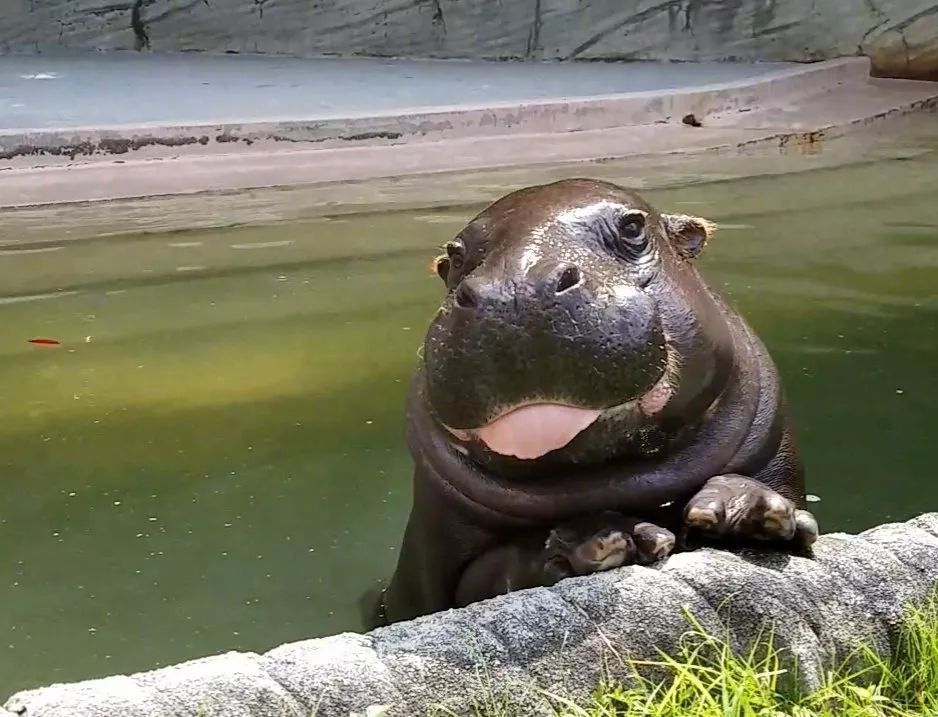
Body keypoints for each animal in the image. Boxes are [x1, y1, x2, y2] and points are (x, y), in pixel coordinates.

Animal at [372, 179, 812, 628]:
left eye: (633, 226)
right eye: (455, 257)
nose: (515, 290)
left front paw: (746, 507)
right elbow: (485, 573)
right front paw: (607, 537)